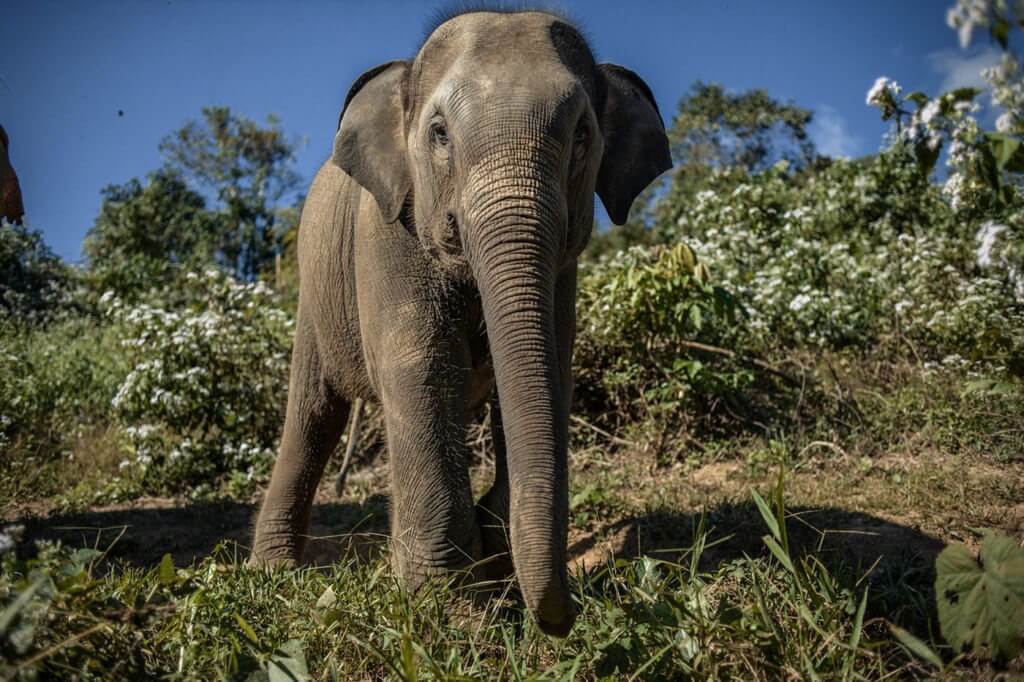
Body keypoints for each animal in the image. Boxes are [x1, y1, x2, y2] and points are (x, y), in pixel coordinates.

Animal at [250, 9, 670, 636]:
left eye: (582, 134)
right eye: (440, 133)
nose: (563, 617)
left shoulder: (564, 269)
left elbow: (549, 368)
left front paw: (497, 578)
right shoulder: (387, 233)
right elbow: (421, 370)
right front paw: (452, 612)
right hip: (315, 290)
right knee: (314, 415)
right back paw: (273, 575)